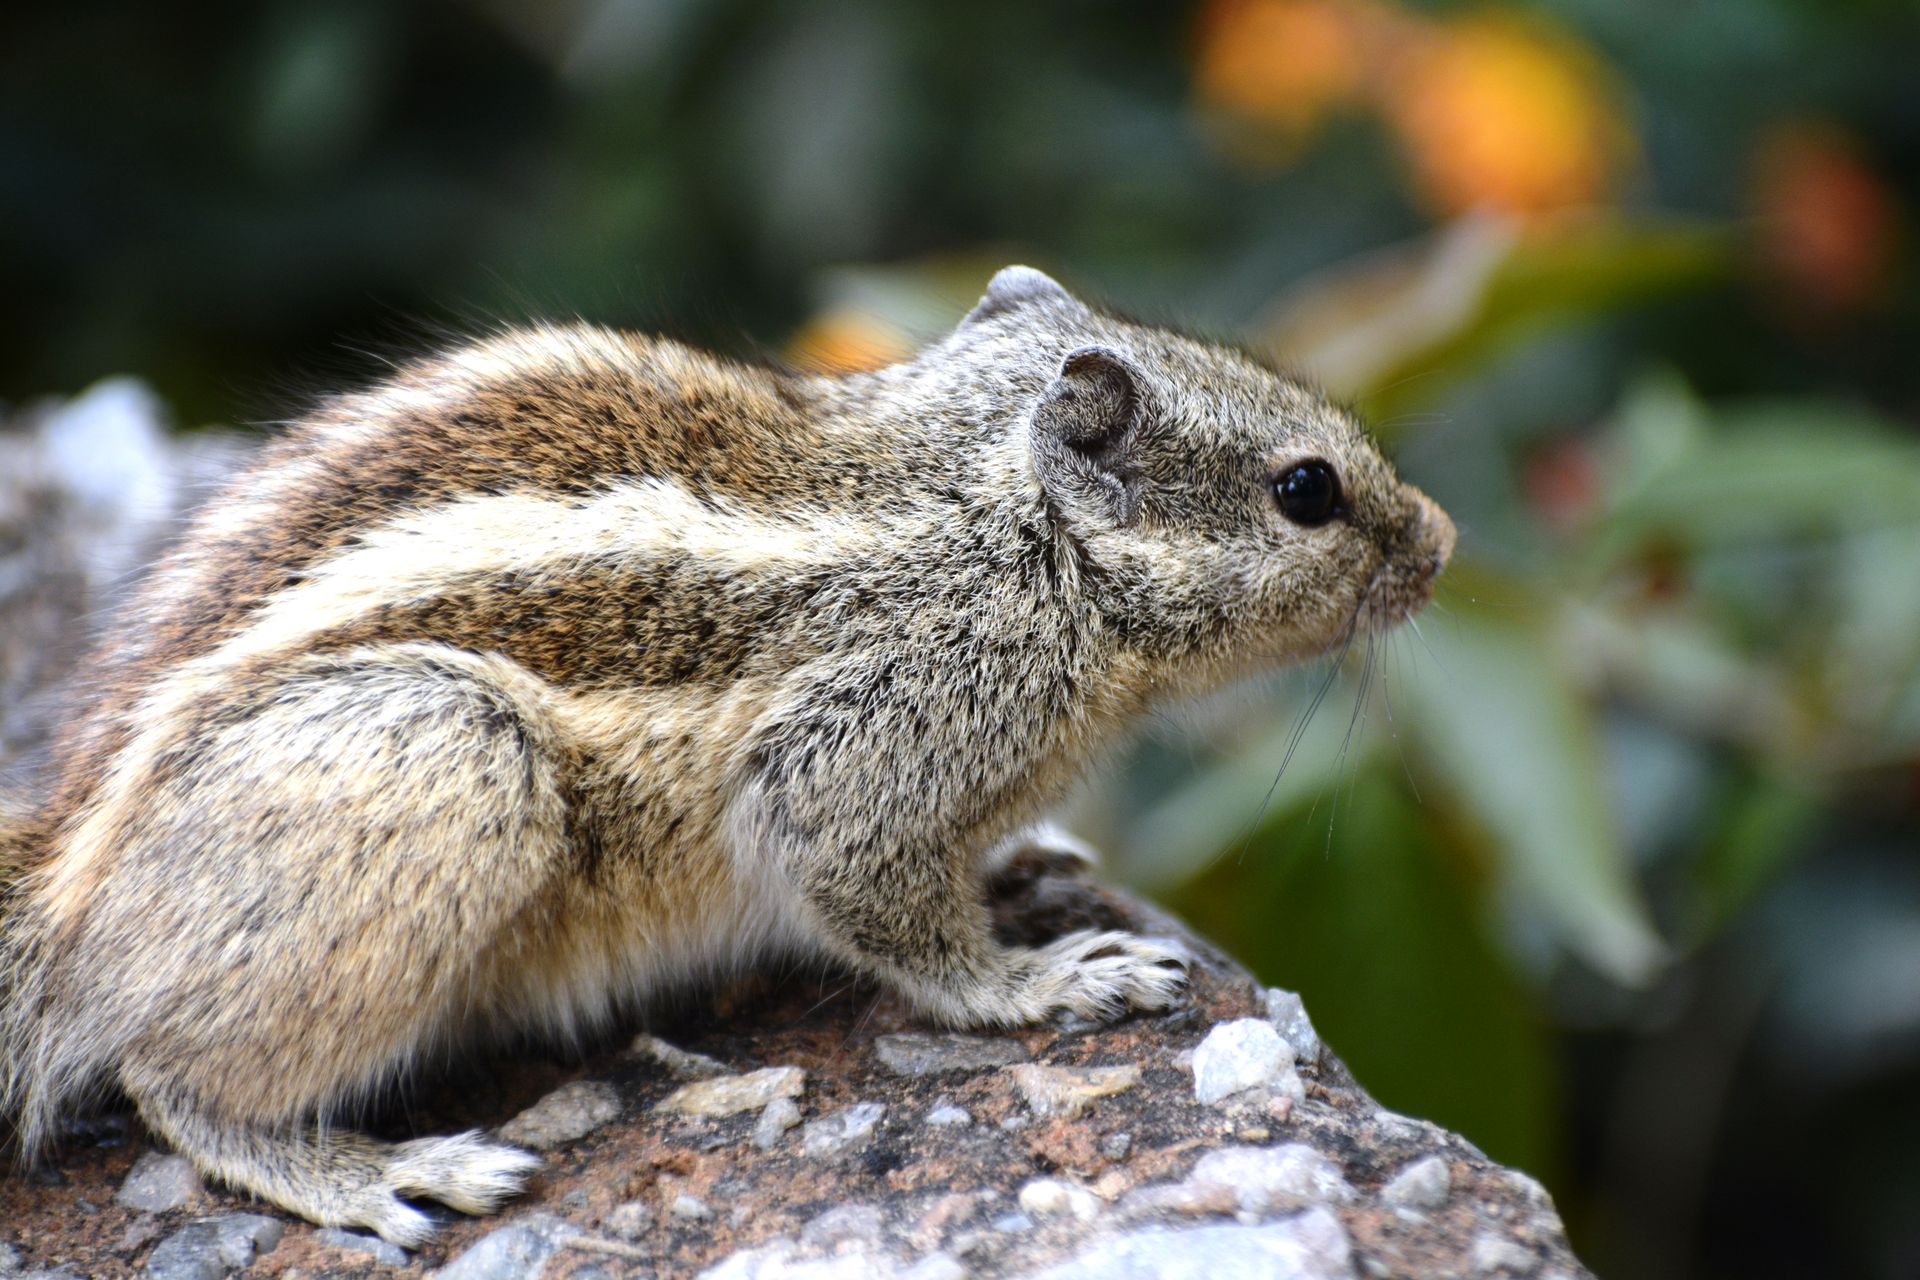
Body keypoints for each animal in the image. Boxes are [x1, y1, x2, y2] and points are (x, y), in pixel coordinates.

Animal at [0, 266, 1453, 1245]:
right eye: (1307, 490)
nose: (1442, 542)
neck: (1002, 522)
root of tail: (65, 892)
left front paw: (1032, 857)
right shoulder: (863, 748)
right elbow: (892, 914)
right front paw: (1047, 978)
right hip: (452, 757)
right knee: (171, 1084)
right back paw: (379, 1173)